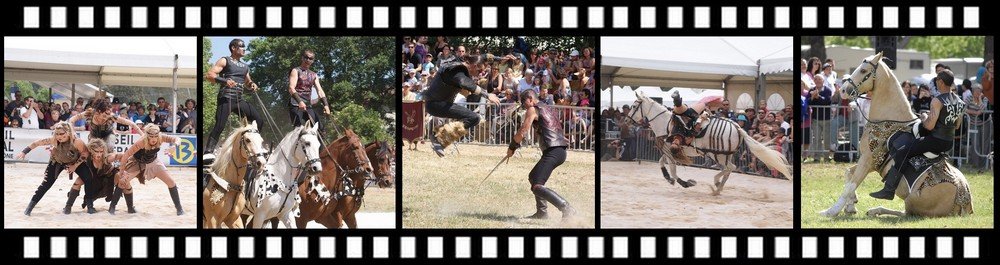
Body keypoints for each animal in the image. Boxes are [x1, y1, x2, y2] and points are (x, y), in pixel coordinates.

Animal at [628, 91, 792, 194]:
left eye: (634, 106)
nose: (627, 120)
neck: (665, 123)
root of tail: (737, 127)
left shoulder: (670, 150)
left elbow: (673, 171)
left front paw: (686, 183)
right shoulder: (668, 151)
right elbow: (662, 163)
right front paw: (669, 179)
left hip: (717, 155)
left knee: (730, 168)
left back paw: (716, 184)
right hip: (724, 155)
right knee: (730, 168)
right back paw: (718, 187)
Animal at [816, 51, 972, 217]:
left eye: (863, 71)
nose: (843, 90)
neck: (887, 121)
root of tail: (963, 199)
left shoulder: (868, 160)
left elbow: (851, 185)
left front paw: (831, 211)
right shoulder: (871, 162)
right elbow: (848, 173)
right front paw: (851, 205)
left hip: (913, 202)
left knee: (905, 214)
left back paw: (876, 208)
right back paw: (874, 210)